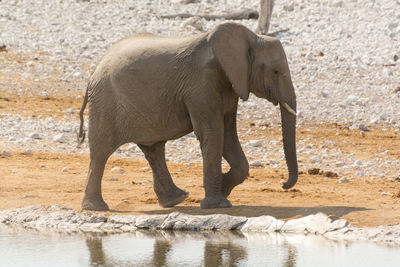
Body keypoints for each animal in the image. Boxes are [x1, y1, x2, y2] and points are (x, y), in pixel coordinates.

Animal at [78, 22, 296, 211]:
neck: (251, 37)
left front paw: (223, 189)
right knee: (101, 152)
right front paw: (218, 203)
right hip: (105, 101)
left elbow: (227, 134)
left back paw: (175, 199)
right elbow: (213, 133)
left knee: (153, 149)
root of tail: (93, 73)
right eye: (276, 71)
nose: (283, 184)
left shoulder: (229, 83)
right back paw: (96, 208)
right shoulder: (200, 85)